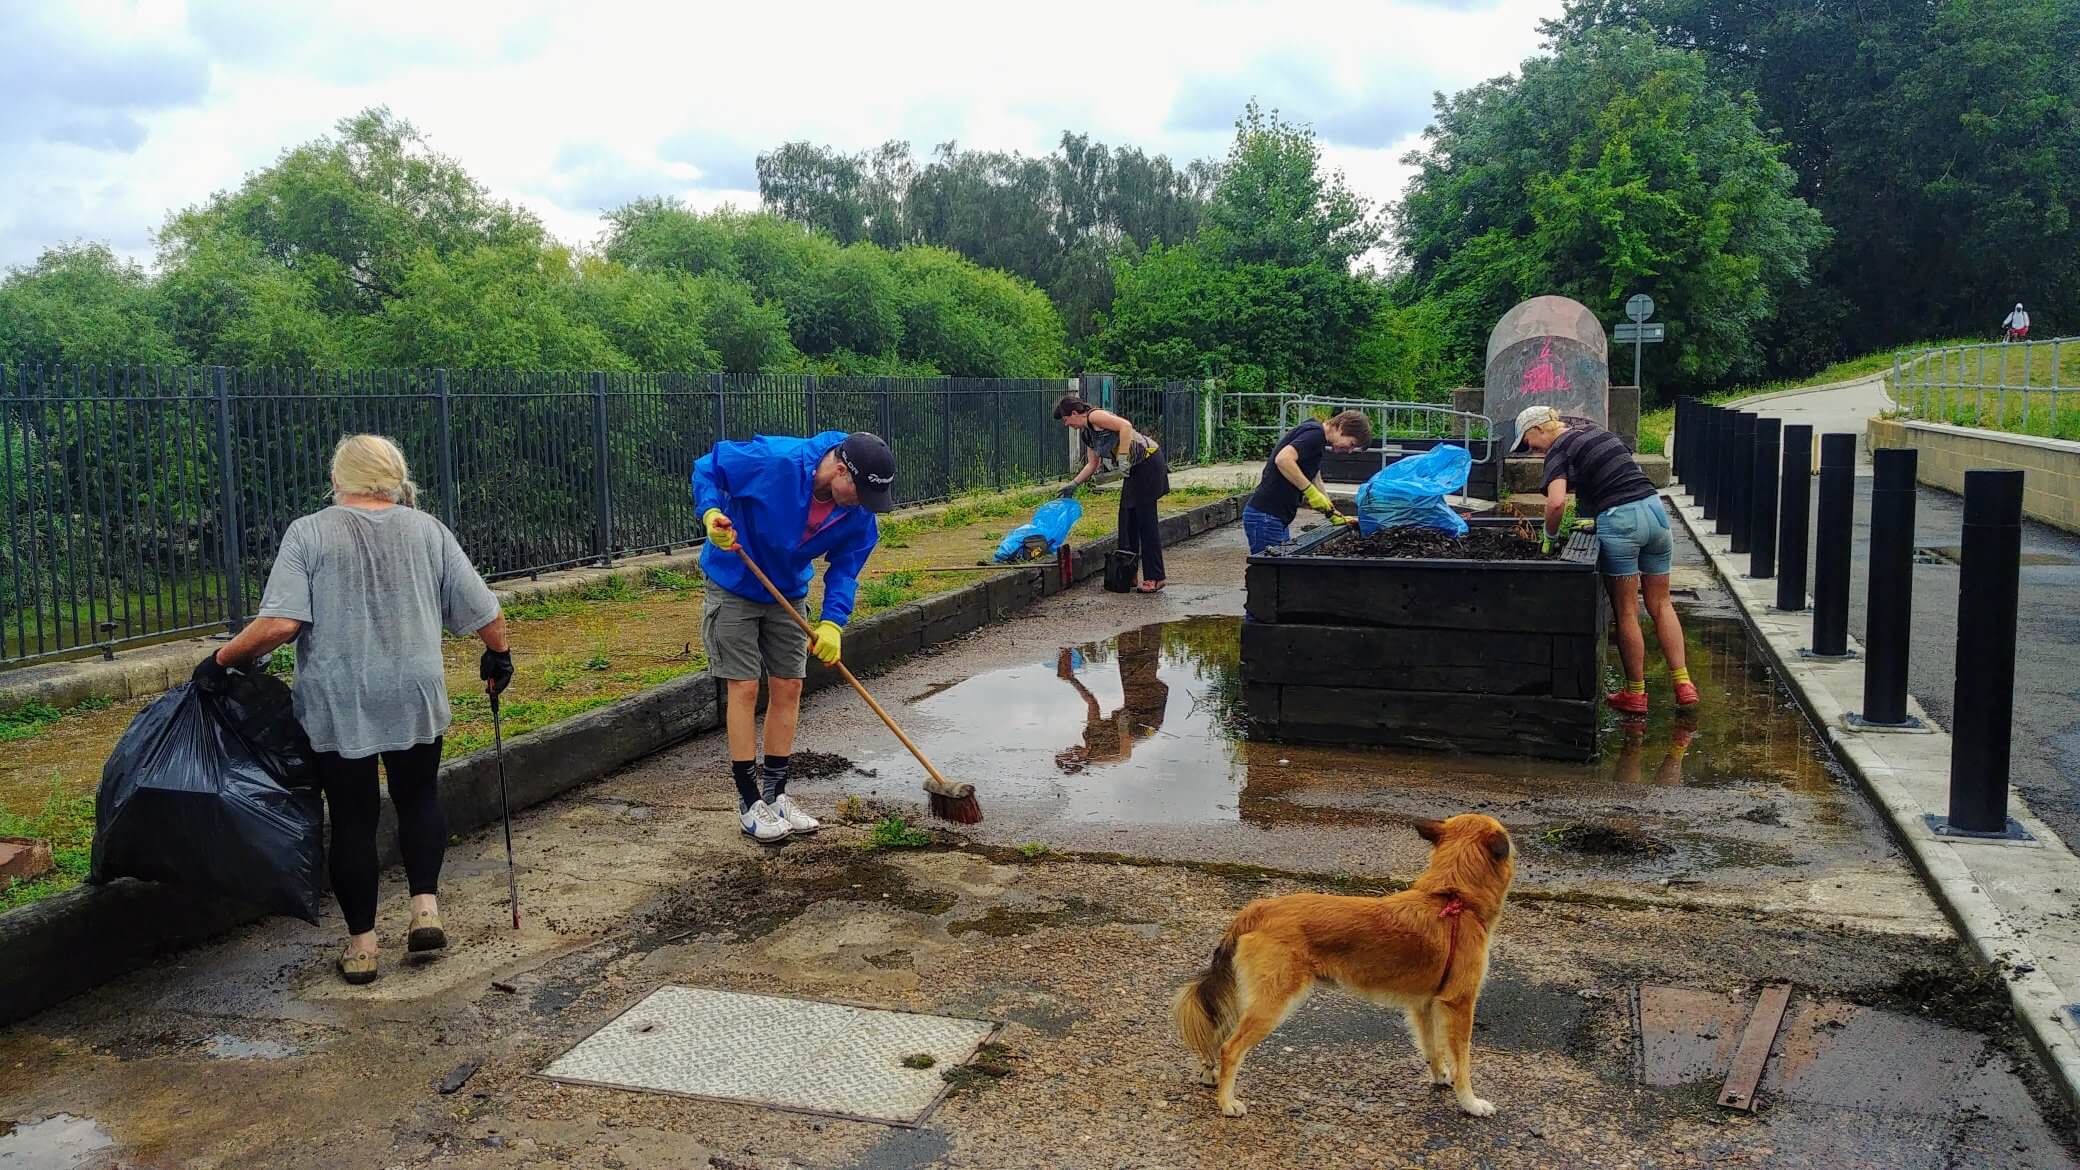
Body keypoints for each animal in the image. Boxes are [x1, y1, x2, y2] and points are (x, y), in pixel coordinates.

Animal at [1173, 811, 1514, 1107]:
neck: (1454, 899)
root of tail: (1258, 909)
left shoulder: (1425, 1005)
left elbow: (1433, 1048)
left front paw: (1441, 1077)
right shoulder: (1460, 1004)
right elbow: (1462, 1060)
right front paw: (1470, 1103)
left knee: (1217, 1032)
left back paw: (1210, 1075)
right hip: (1272, 1003)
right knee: (1230, 1047)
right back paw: (1226, 1102)